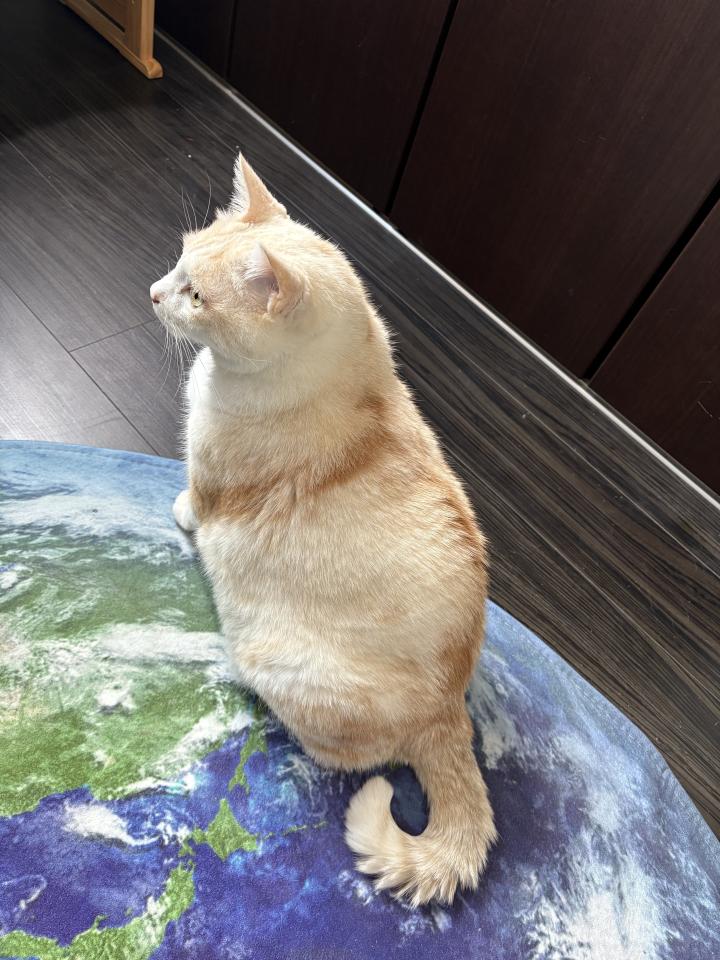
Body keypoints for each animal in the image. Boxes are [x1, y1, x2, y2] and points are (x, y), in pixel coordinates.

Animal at [150, 153, 497, 907]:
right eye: (178, 257)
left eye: (197, 295)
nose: (154, 293)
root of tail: (449, 712)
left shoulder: (211, 479)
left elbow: (194, 500)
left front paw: (180, 513)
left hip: (278, 662)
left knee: (339, 754)